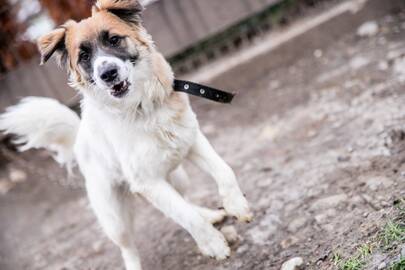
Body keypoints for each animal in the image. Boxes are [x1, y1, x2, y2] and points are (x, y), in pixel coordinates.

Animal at [0, 1, 251, 268]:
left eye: (114, 39)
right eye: (84, 56)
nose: (108, 73)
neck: (142, 107)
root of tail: (80, 140)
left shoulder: (191, 139)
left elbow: (224, 171)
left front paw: (237, 206)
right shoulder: (147, 182)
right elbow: (185, 216)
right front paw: (212, 244)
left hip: (178, 177)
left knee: (185, 200)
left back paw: (210, 214)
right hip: (114, 218)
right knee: (129, 246)